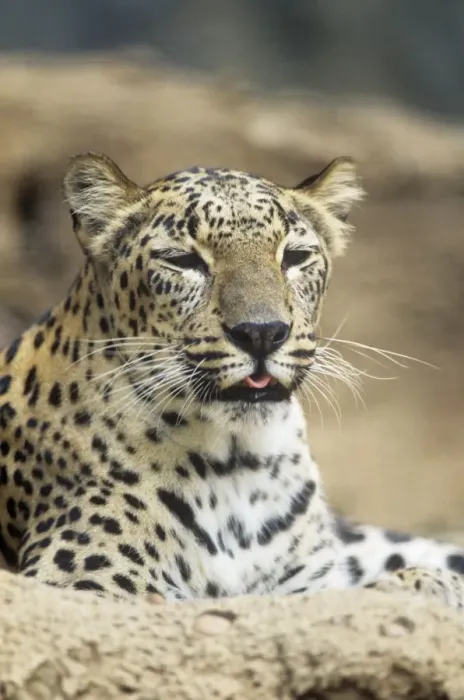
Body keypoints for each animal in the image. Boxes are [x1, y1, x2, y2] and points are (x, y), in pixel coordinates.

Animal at [1, 151, 464, 609]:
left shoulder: (308, 578)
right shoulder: (83, 579)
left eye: (295, 257)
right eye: (182, 261)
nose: (262, 333)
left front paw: (430, 582)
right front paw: (421, 586)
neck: (240, 466)